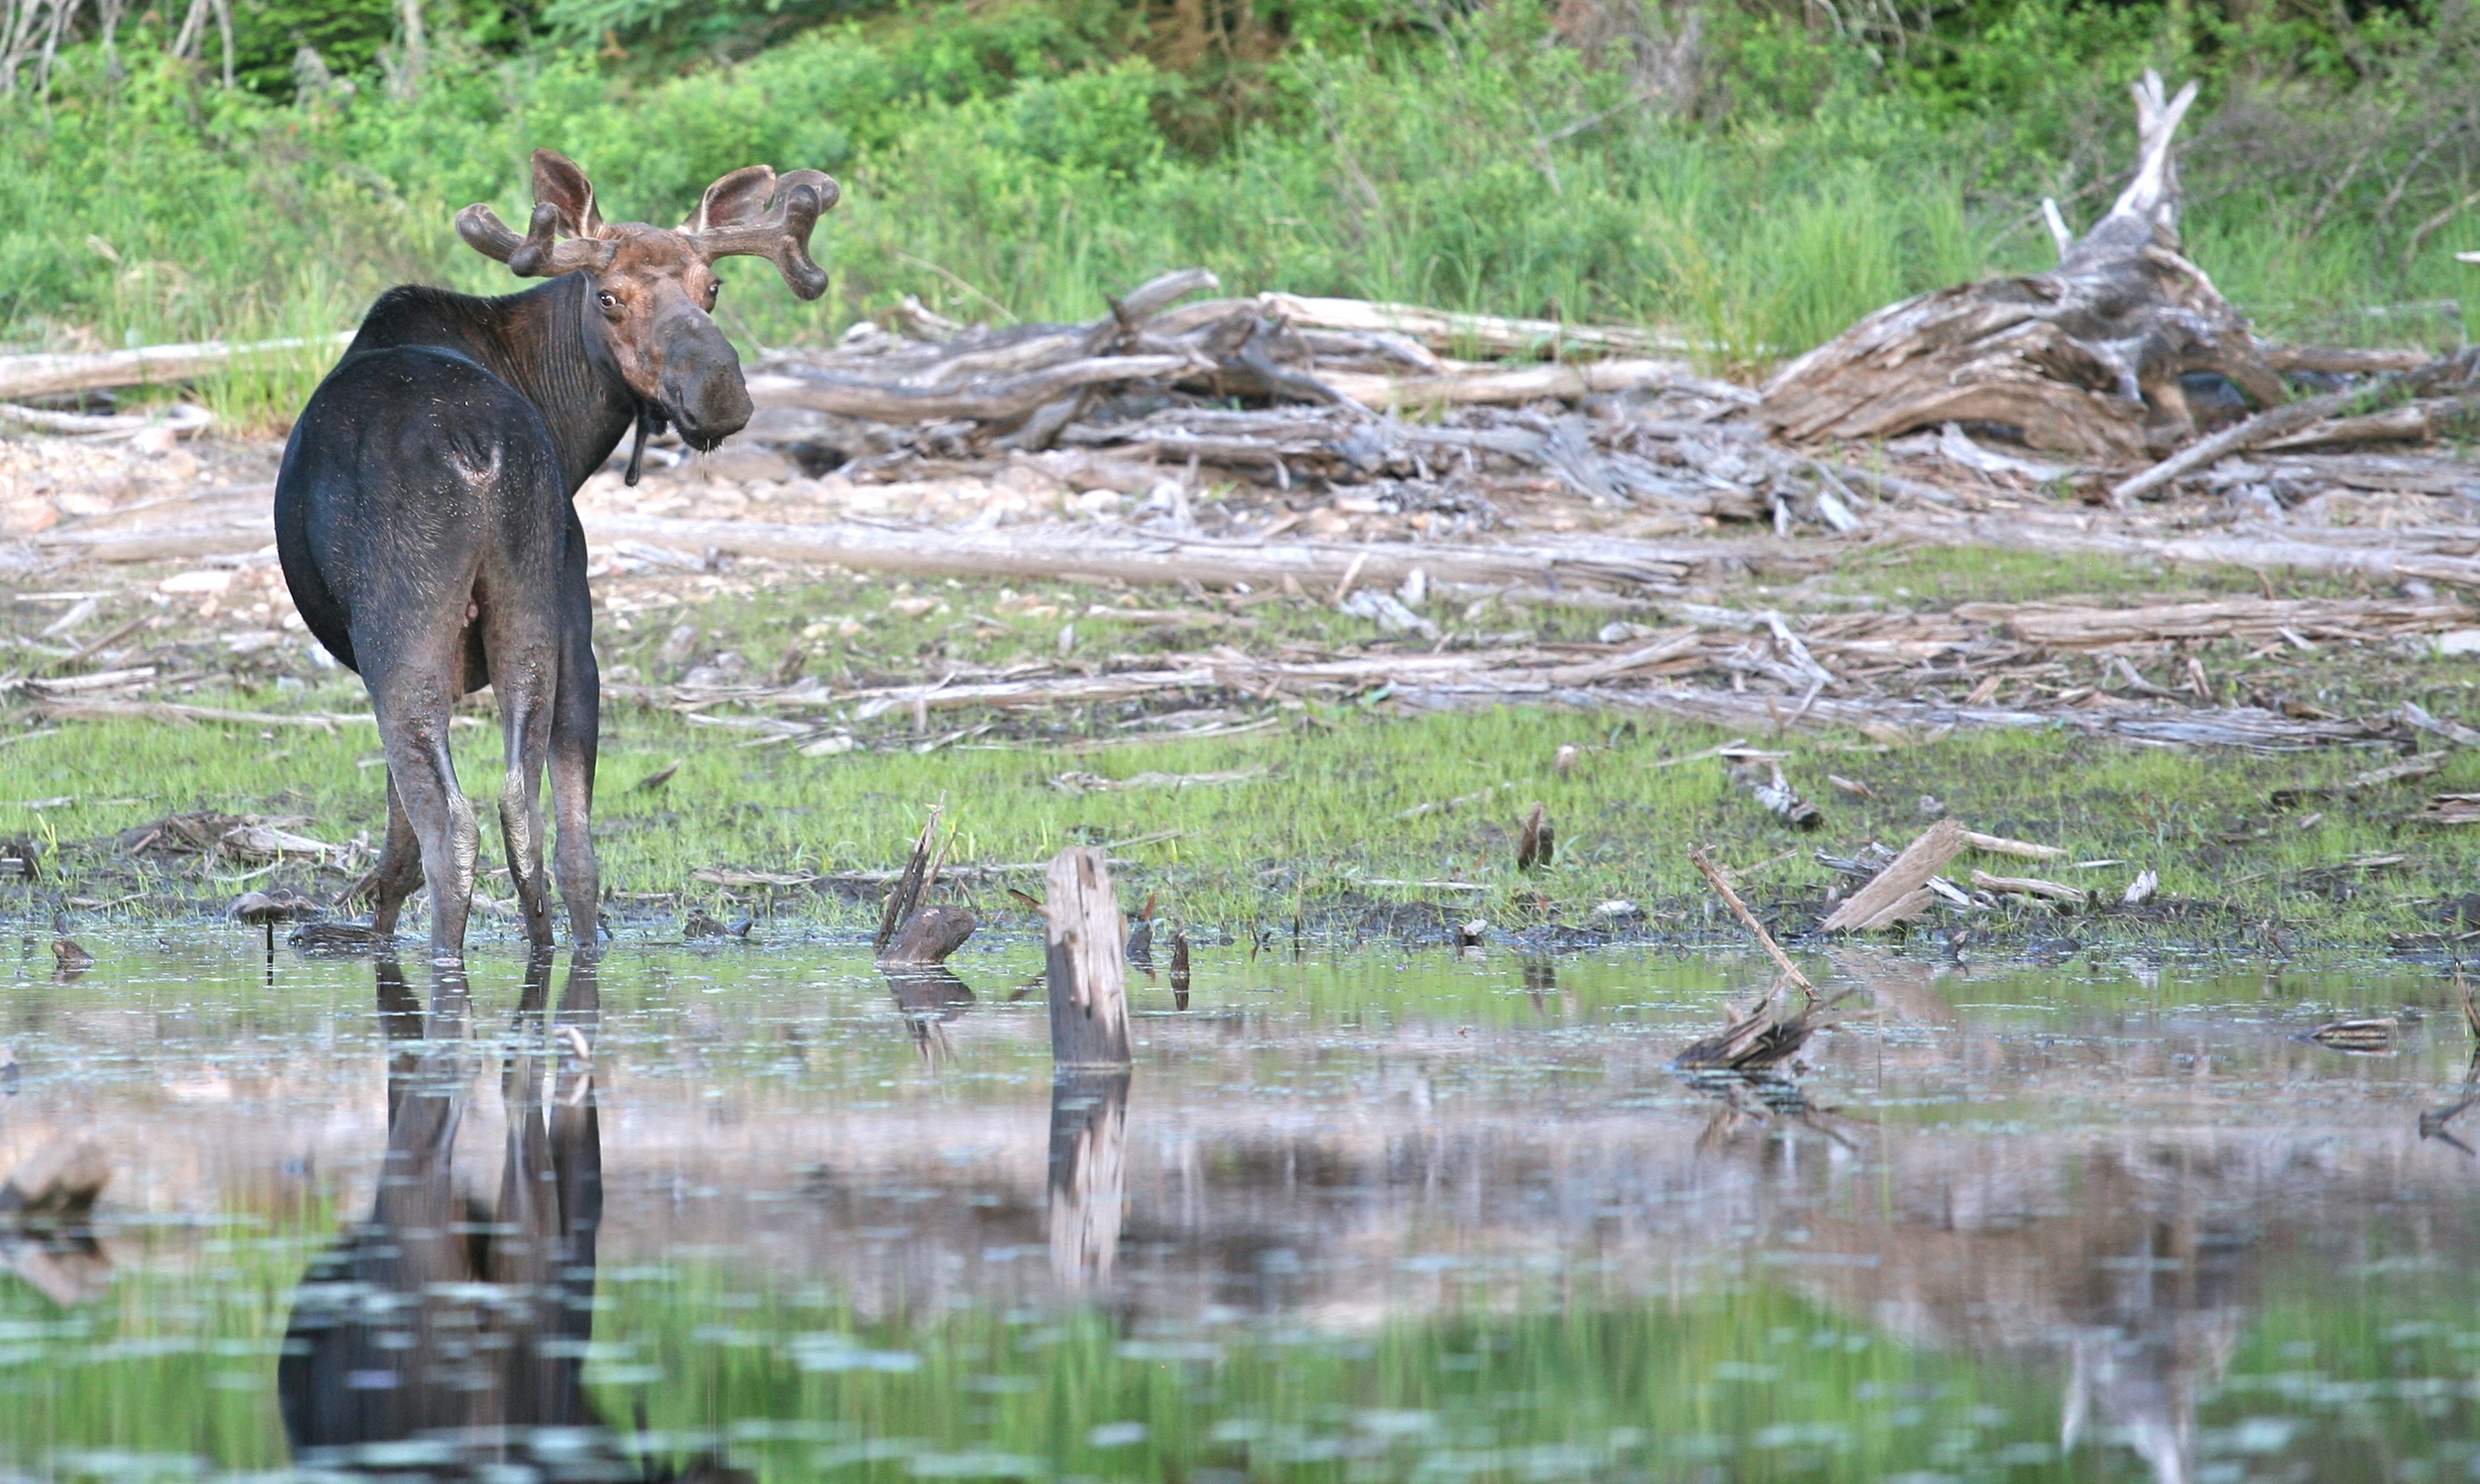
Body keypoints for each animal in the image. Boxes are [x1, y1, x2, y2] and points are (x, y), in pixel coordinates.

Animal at [279, 154, 843, 967]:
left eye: (713, 287)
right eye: (608, 297)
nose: (720, 390)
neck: (573, 435)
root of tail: (475, 448)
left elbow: (396, 831)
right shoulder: (575, 617)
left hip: (401, 621)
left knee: (450, 822)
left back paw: (444, 956)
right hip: (537, 604)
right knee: (546, 822)